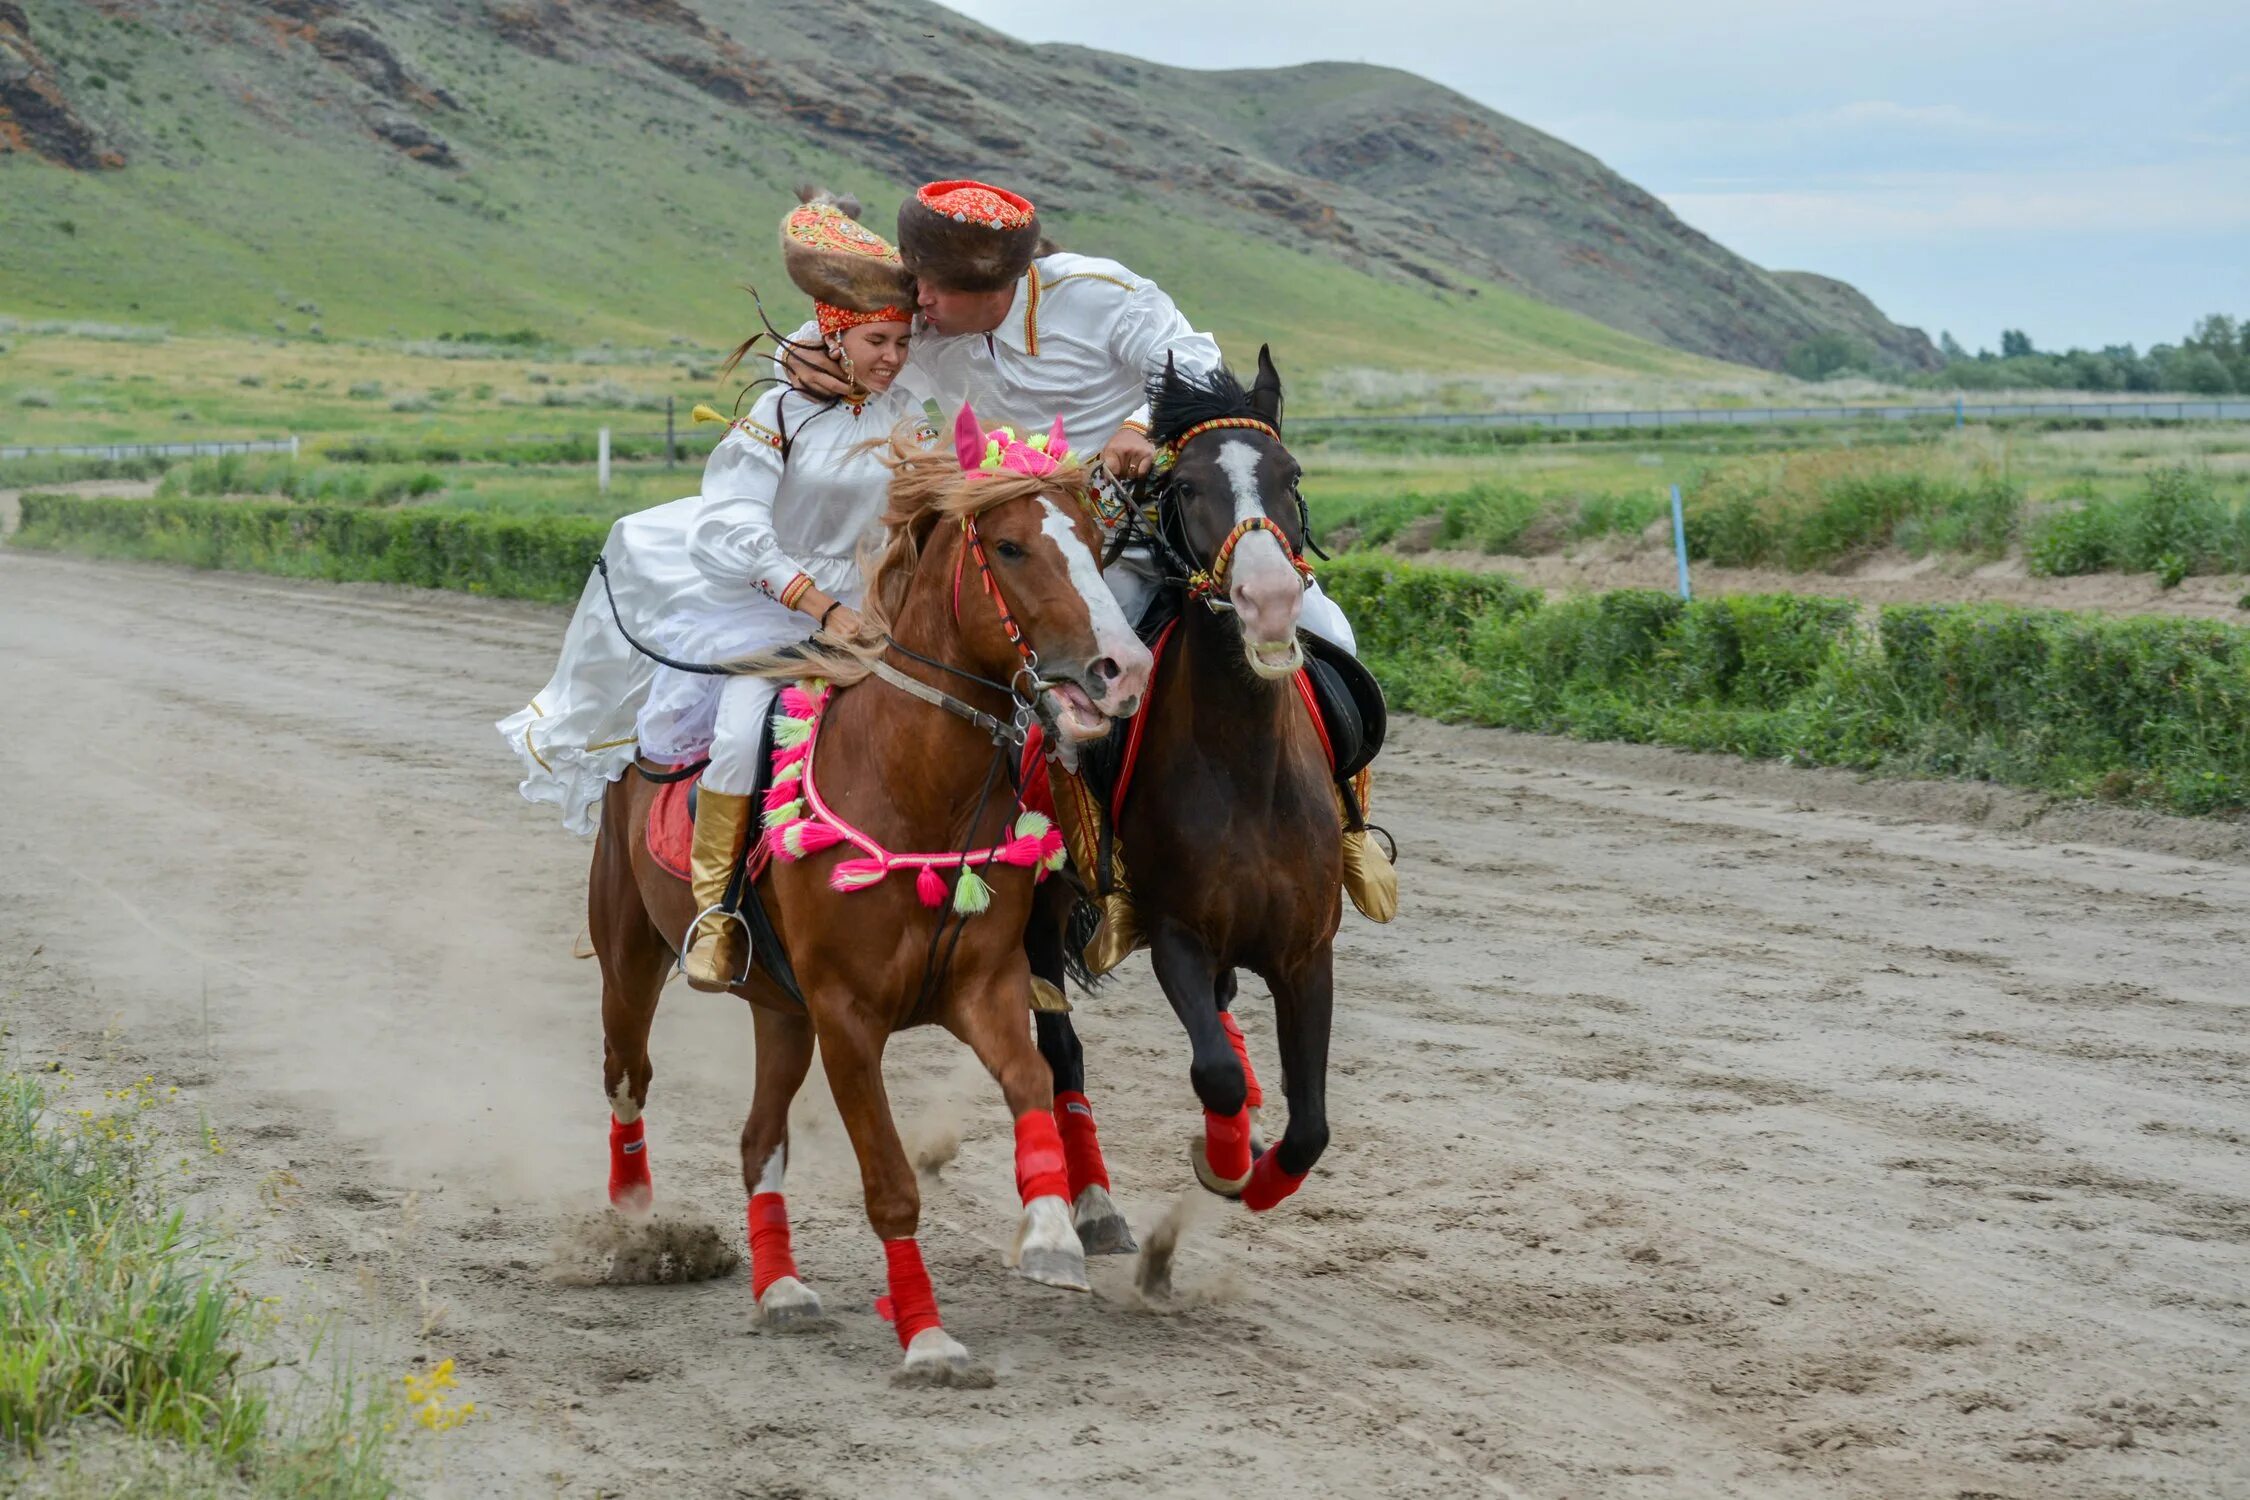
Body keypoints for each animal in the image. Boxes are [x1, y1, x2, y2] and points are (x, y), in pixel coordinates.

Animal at [589, 411, 1152, 1385]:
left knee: (757, 1139)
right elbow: (890, 1185)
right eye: (1011, 546)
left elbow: (1033, 1081)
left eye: (1092, 535)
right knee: (629, 1077)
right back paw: (636, 1223)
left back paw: (780, 1287)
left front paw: (1052, 1234)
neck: (909, 782)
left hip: (779, 1009)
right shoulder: (848, 1016)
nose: (1122, 668)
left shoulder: (982, 985)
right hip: (630, 957)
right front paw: (928, 1336)